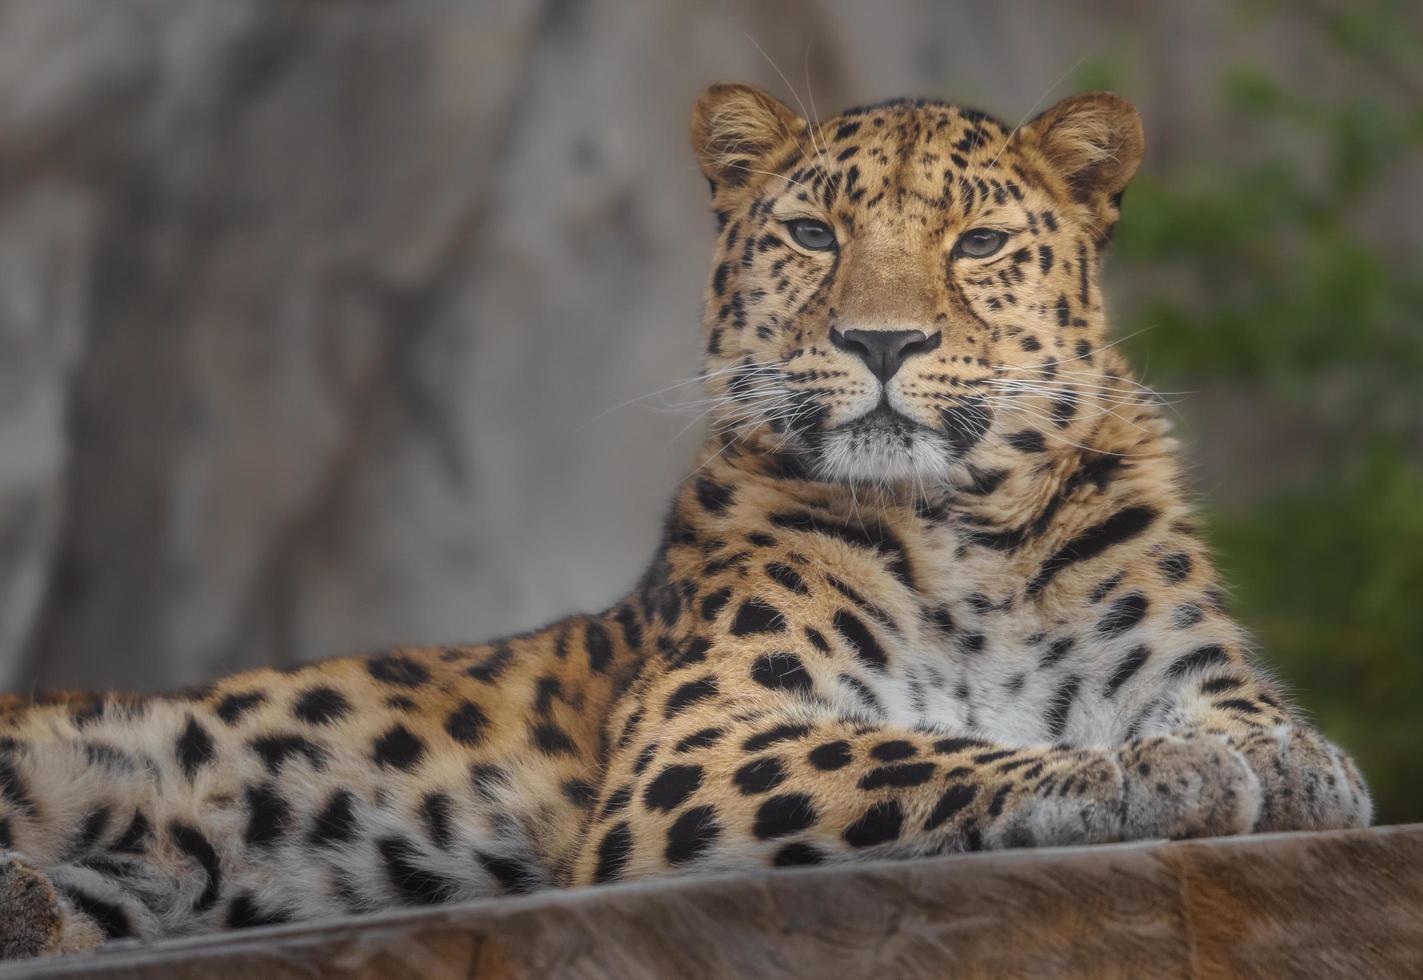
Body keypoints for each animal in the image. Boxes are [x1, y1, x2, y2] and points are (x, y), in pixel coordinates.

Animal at [2, 83, 1377, 955]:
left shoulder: (1192, 663)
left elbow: (1259, 720)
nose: (882, 342)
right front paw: (1145, 770)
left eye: (978, 243)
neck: (962, 528)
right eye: (813, 231)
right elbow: (931, 751)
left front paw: (1287, 763)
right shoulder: (699, 733)